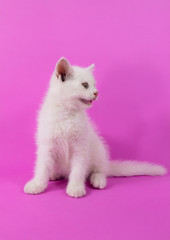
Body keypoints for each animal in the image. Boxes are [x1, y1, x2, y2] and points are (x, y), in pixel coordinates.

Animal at [24, 57, 167, 198]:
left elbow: (78, 170)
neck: (67, 113)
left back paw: (98, 179)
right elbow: (42, 168)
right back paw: (55, 174)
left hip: (99, 150)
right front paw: (37, 184)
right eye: (85, 85)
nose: (96, 93)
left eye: (94, 85)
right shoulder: (46, 146)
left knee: (100, 171)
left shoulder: (81, 147)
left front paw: (76, 187)